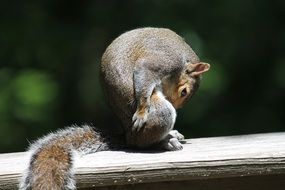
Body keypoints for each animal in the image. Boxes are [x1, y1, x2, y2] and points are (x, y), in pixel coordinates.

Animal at [18, 27, 209, 189]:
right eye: (184, 92)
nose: (176, 105)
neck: (183, 61)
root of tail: (127, 136)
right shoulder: (162, 61)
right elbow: (144, 75)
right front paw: (141, 111)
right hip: (159, 113)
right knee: (142, 142)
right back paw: (164, 140)